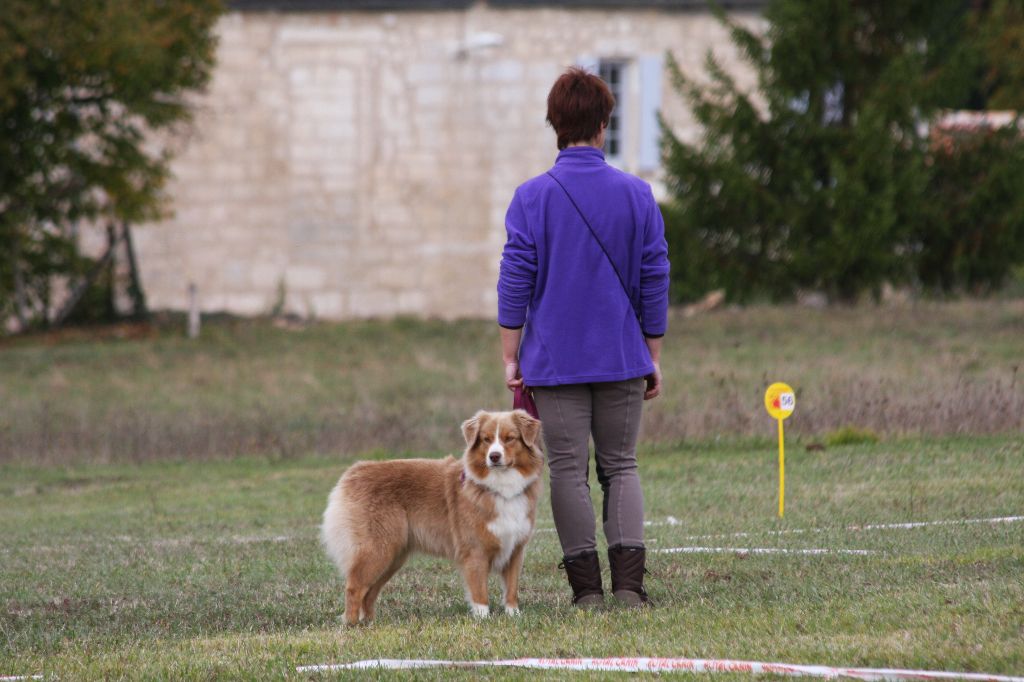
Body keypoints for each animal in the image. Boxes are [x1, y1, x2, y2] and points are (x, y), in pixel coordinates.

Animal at [319, 405, 544, 622]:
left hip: (393, 555)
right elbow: (480, 592)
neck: (501, 487)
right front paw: (483, 619)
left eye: (510, 438)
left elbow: (512, 589)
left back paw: (369, 622)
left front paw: (514, 615)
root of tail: (353, 472)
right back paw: (351, 624)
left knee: (370, 591)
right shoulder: (475, 551)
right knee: (354, 587)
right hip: (377, 549)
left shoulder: (515, 549)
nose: (494, 456)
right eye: (486, 439)